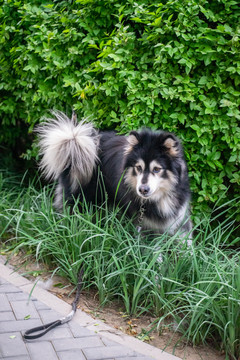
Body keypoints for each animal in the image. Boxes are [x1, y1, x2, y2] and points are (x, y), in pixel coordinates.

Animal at [37, 112, 191, 242]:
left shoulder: (180, 219)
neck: (160, 198)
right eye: (138, 167)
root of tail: (74, 141)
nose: (143, 189)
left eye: (157, 169)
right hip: (80, 199)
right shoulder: (145, 227)